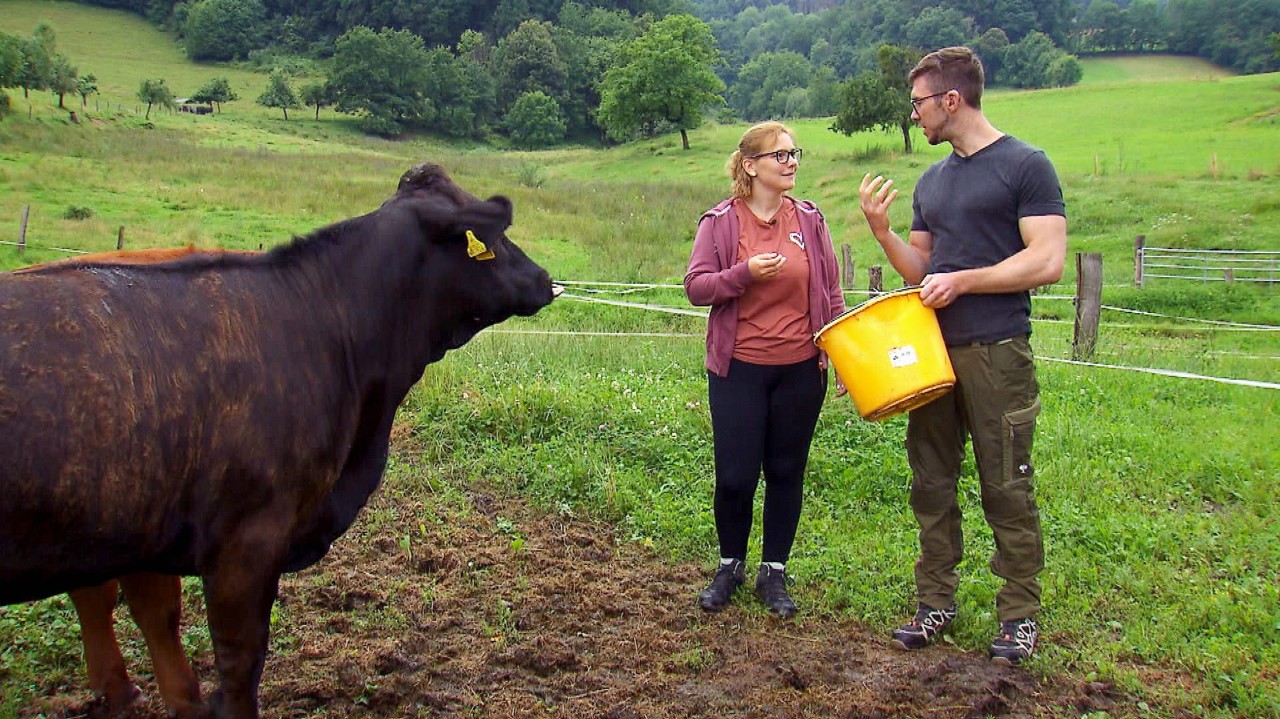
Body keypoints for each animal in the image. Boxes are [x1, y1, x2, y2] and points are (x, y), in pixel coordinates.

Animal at [1, 162, 560, 716]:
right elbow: (238, 661)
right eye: (496, 236)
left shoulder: (143, 527)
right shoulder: (246, 540)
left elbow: (156, 618)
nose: (544, 278)